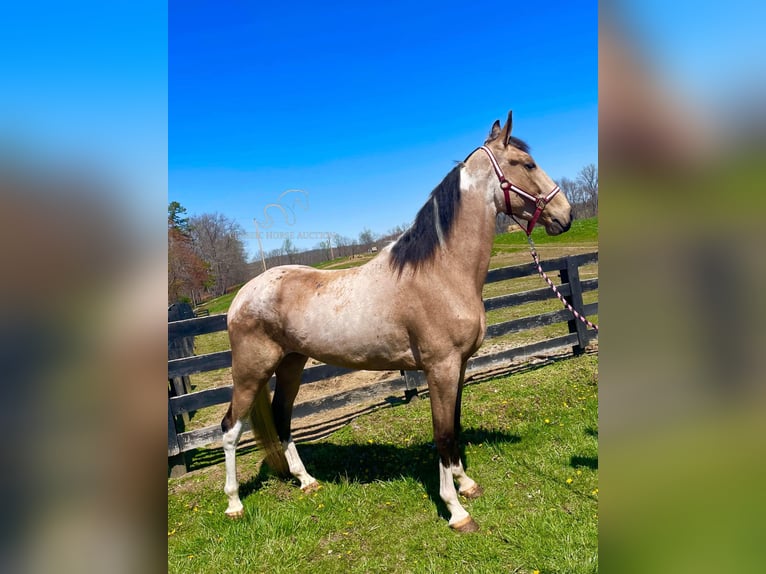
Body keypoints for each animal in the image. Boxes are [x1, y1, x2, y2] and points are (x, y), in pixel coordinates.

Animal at [219, 112, 572, 536]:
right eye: (527, 164)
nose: (566, 215)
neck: (442, 272)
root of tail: (241, 296)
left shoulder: (459, 367)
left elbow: (454, 426)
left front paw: (466, 484)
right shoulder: (440, 368)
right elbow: (443, 433)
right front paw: (455, 510)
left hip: (291, 364)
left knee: (282, 418)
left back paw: (307, 481)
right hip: (251, 369)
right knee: (230, 427)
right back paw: (234, 504)